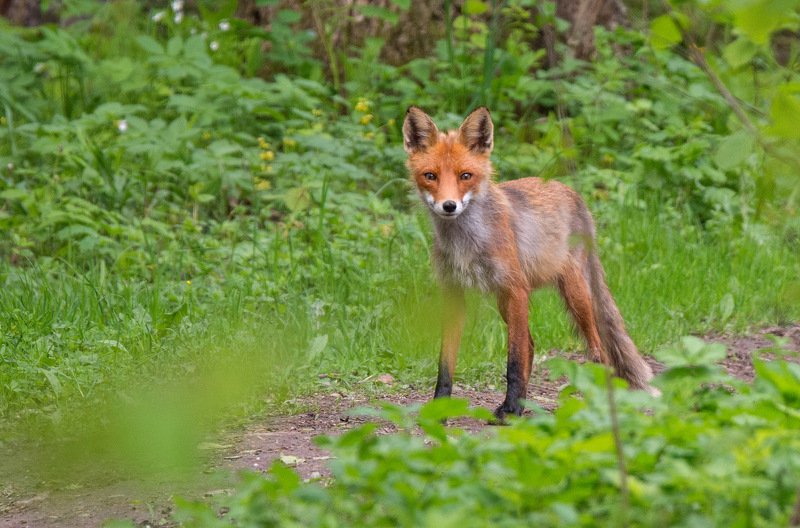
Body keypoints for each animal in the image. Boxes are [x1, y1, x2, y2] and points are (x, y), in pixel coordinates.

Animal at [400, 106, 656, 420]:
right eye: (430, 176)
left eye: (465, 175)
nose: (449, 206)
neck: (467, 243)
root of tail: (571, 192)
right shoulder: (453, 293)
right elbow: (446, 364)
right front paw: (440, 408)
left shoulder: (516, 289)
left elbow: (513, 360)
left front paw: (510, 408)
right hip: (505, 301)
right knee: (532, 346)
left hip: (574, 294)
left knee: (598, 351)